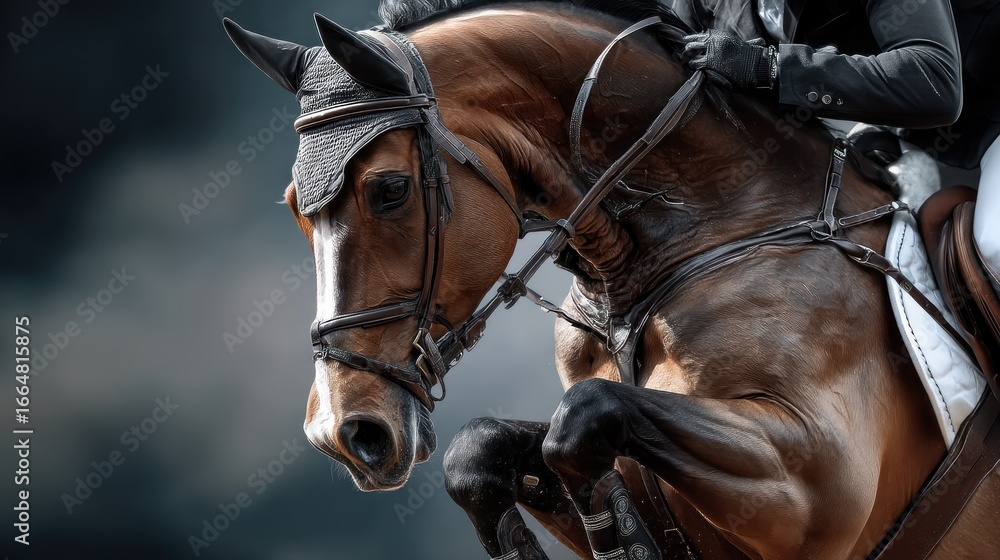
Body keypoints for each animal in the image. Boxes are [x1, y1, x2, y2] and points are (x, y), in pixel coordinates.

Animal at [224, 0, 1000, 558]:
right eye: (294, 208)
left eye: (388, 190)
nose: (345, 432)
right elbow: (483, 448)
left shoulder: (815, 483)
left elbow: (585, 417)